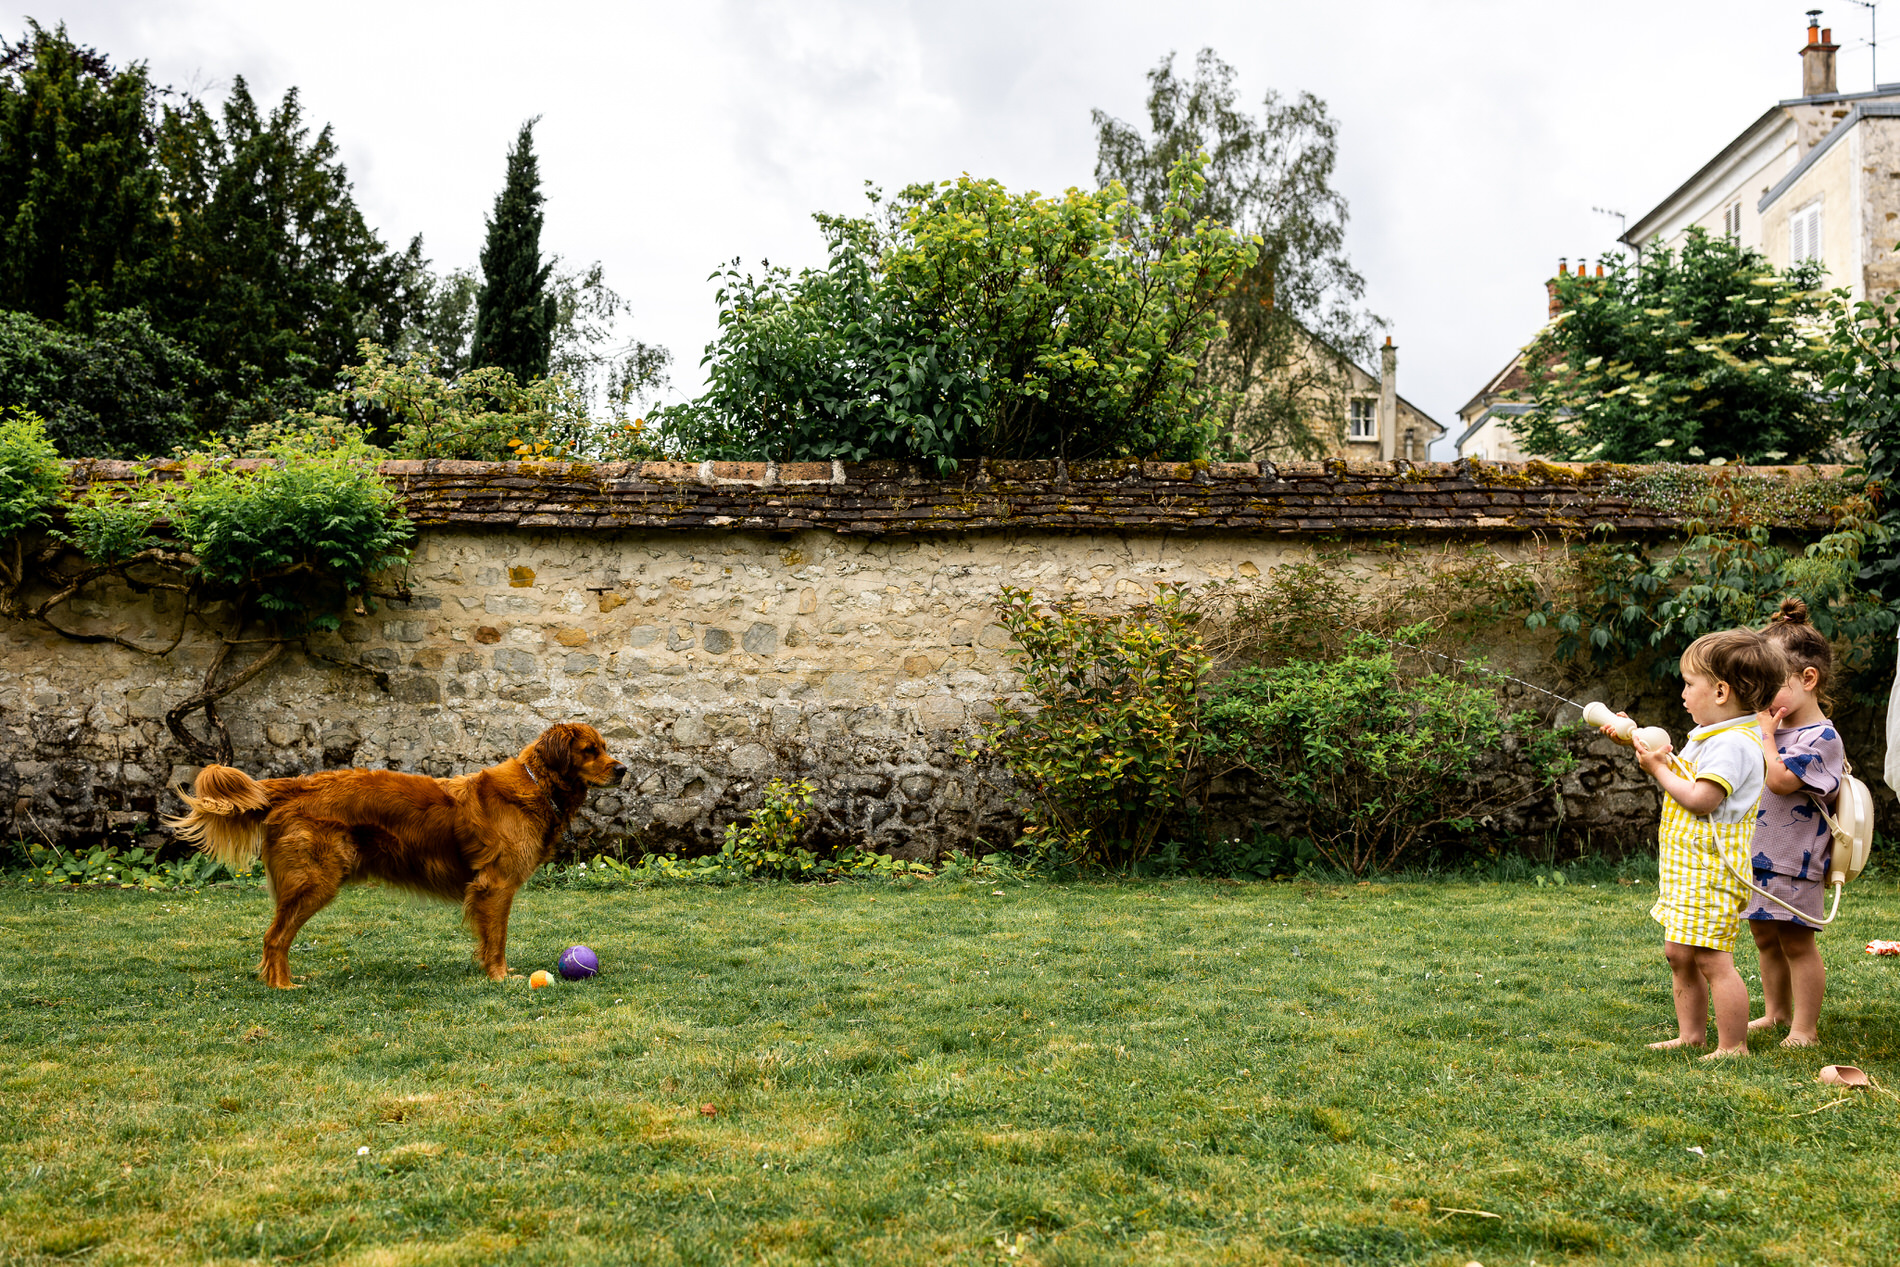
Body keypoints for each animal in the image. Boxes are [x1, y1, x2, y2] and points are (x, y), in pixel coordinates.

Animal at [167, 721, 627, 987]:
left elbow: (487, 939)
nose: (623, 769)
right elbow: (497, 938)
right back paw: (282, 985)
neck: (538, 785)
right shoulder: (495, 885)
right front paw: (498, 976)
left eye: (606, 747)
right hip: (316, 881)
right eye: (590, 751)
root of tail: (296, 786)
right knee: (274, 938)